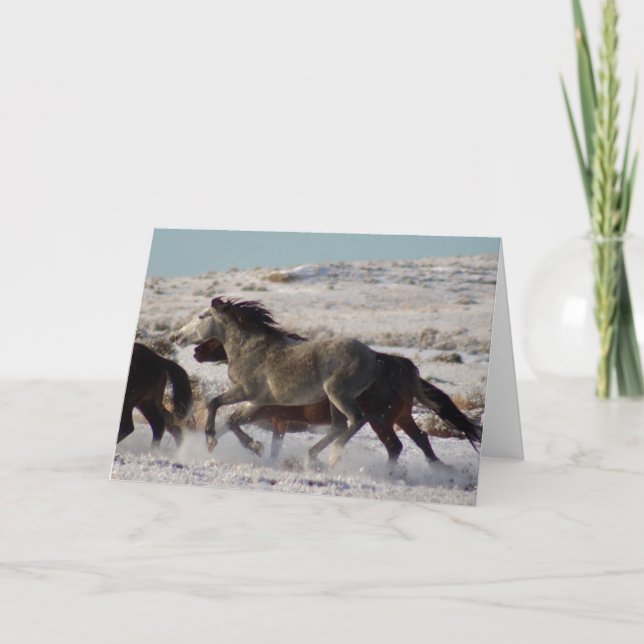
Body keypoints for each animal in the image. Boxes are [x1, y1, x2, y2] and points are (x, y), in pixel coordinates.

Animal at [193, 336, 481, 463]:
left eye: (215, 339)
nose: (196, 351)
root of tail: (399, 368)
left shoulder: (270, 417)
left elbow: (231, 425)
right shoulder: (274, 420)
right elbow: (231, 424)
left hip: (381, 421)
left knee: (395, 446)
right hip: (401, 417)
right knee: (421, 440)